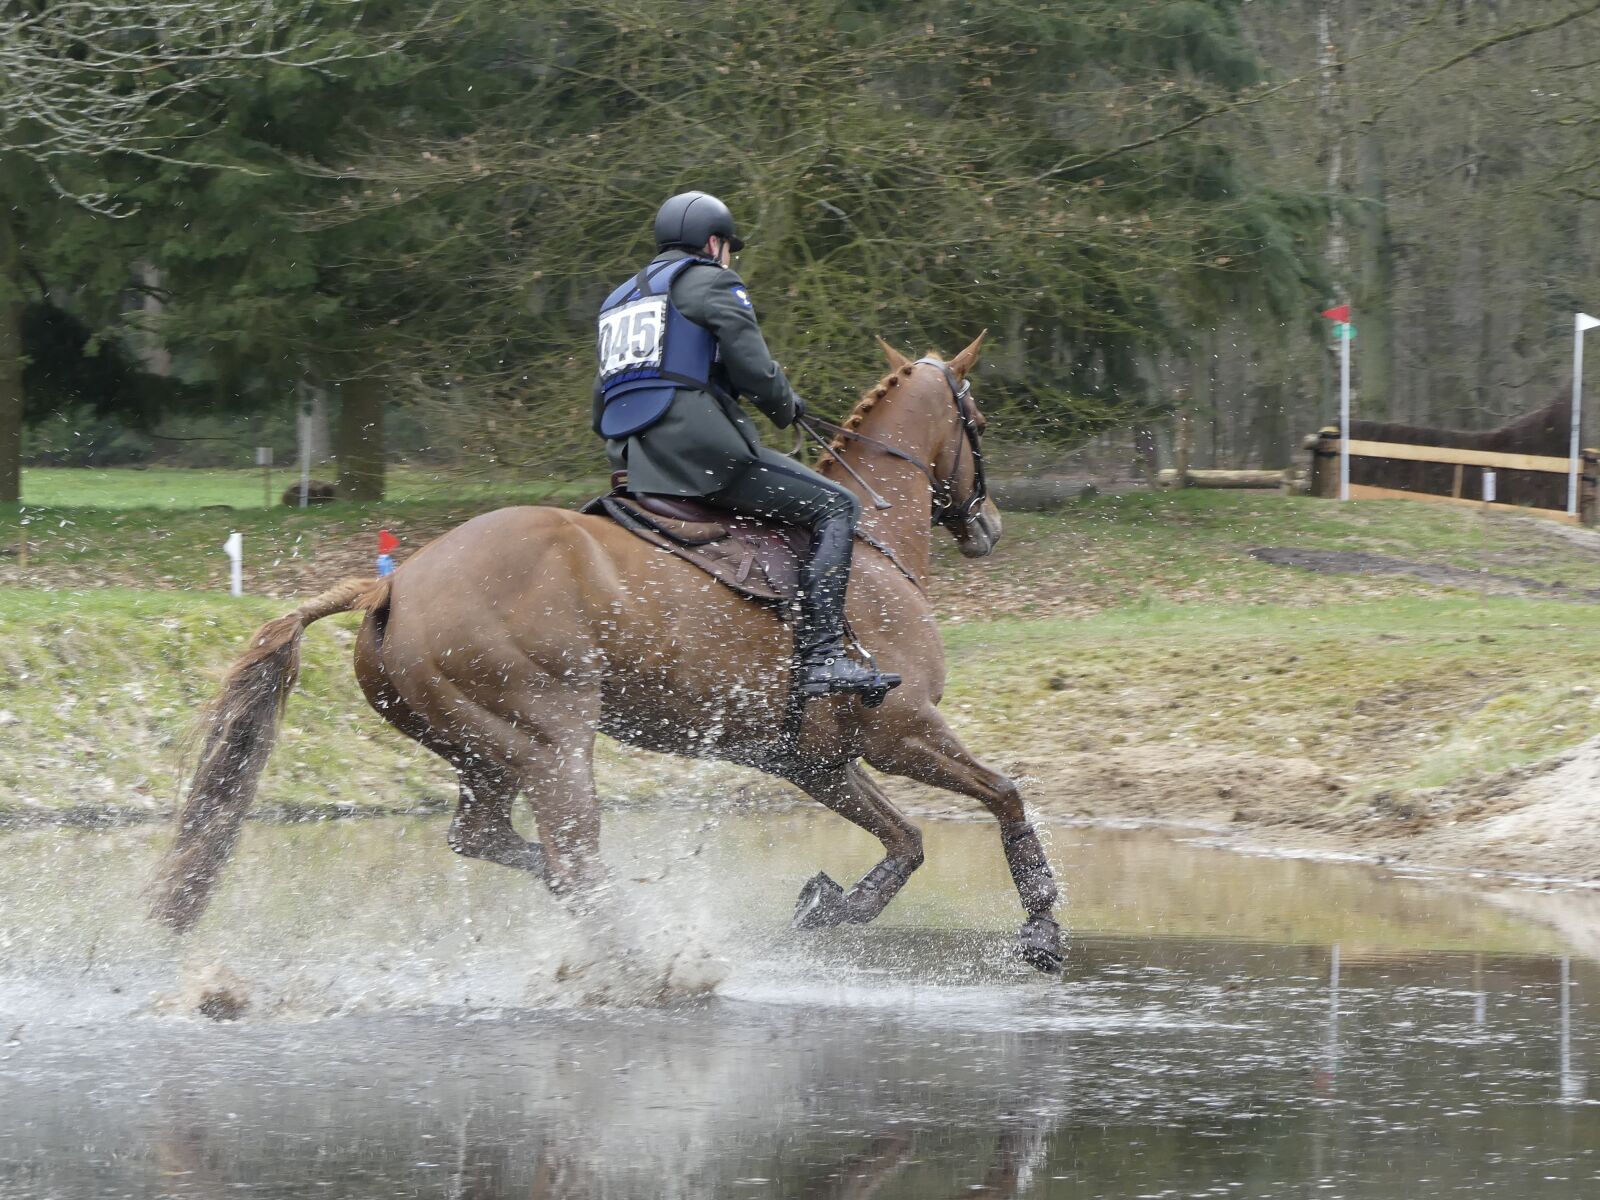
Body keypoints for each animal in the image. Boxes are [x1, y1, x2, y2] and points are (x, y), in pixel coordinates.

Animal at [150, 332, 1063, 974]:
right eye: (979, 423)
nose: (988, 525)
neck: (869, 537)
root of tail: (394, 585)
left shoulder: (817, 761)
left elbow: (905, 844)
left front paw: (829, 906)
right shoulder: (900, 729)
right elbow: (1005, 796)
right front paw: (1044, 928)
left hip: (484, 749)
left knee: (492, 841)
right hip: (553, 742)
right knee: (571, 859)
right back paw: (654, 962)